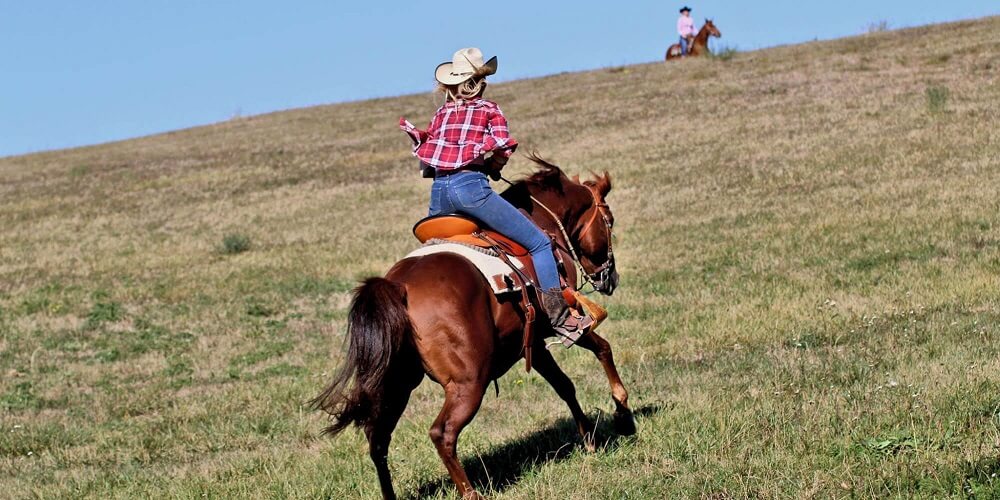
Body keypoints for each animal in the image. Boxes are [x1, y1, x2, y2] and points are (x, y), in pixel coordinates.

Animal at [314, 155, 632, 496]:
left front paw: (589, 440)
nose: (610, 277)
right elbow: (602, 348)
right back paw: (470, 493)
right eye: (610, 220)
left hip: (397, 382)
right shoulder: (556, 326)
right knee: (442, 433)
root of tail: (398, 286)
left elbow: (564, 385)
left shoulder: (531, 342)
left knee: (378, 439)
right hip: (468, 383)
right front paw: (623, 415)